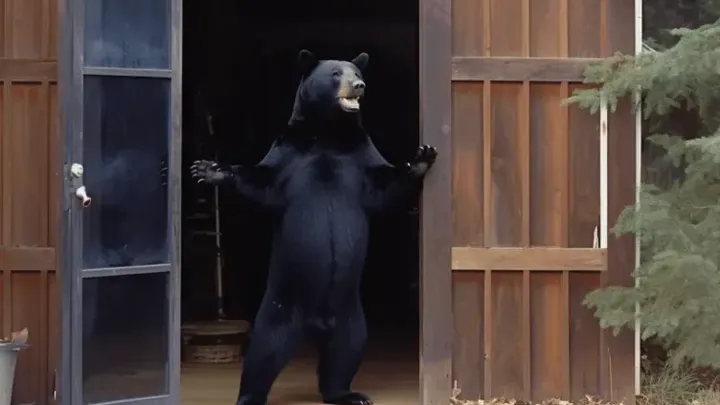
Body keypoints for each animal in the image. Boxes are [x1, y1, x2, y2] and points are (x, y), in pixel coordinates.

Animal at [190, 49, 437, 405]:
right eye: (336, 74)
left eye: (357, 71)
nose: (359, 86)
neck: (329, 133)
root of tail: (316, 324)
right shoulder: (288, 152)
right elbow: (262, 183)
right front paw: (208, 169)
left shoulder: (360, 154)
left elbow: (384, 186)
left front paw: (421, 157)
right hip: (281, 306)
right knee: (264, 350)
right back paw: (250, 396)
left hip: (351, 315)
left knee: (346, 351)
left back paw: (347, 393)